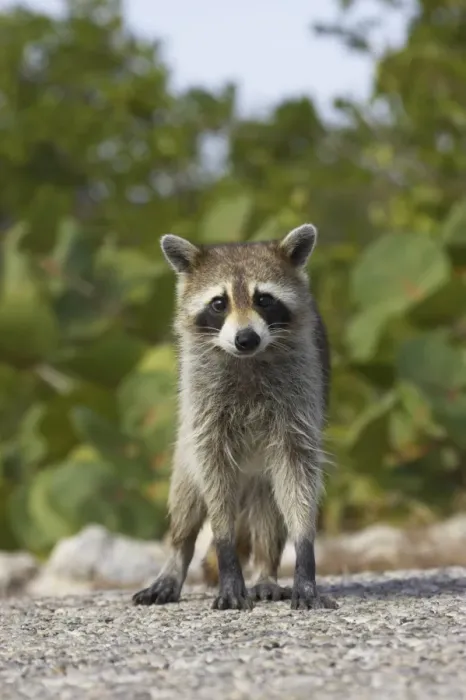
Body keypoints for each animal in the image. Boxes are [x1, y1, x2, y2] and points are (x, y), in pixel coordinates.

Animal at [132, 224, 337, 611]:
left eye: (264, 300)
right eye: (219, 303)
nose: (246, 339)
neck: (247, 361)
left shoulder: (300, 401)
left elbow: (299, 476)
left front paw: (305, 558)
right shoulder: (203, 411)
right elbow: (212, 485)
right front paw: (227, 559)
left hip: (261, 479)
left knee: (270, 515)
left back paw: (266, 571)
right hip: (185, 445)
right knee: (186, 500)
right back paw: (176, 559)